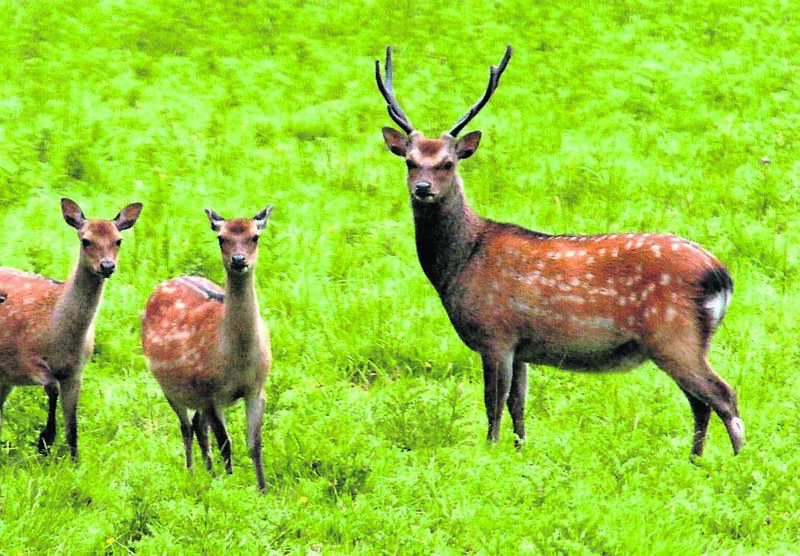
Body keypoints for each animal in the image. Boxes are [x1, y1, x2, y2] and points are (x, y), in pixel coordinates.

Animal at [0, 198, 142, 458]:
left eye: (118, 240)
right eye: (85, 240)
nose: (107, 266)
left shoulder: (76, 371)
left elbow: (73, 424)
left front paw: (74, 459)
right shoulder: (25, 357)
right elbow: (52, 387)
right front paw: (44, 441)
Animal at [141, 206, 273, 491]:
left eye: (255, 236)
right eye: (221, 238)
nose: (238, 260)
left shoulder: (257, 388)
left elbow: (255, 444)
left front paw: (263, 490)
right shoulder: (210, 391)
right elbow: (225, 443)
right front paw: (231, 485)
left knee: (197, 426)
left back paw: (209, 472)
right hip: (170, 386)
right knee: (186, 427)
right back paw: (192, 472)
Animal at [376, 45, 743, 458]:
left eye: (447, 163)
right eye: (409, 161)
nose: (422, 187)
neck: (459, 266)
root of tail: (721, 275)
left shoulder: (495, 333)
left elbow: (493, 404)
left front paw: (489, 454)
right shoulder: (521, 346)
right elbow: (518, 405)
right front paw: (520, 452)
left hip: (674, 334)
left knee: (722, 395)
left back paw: (735, 463)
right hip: (685, 341)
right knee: (700, 402)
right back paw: (694, 461)